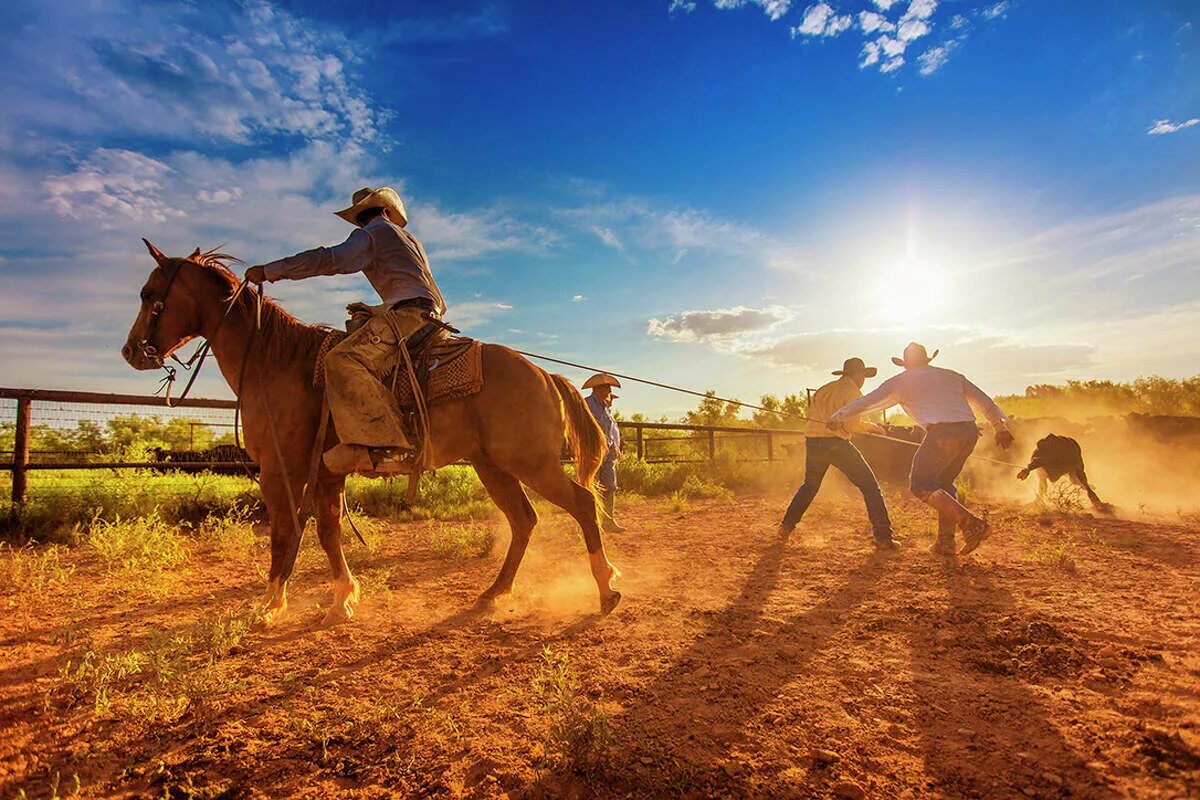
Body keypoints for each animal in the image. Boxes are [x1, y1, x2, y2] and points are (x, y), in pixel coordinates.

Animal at [123, 241, 624, 628]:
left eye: (149, 293)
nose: (131, 351)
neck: (276, 363)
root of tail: (544, 375)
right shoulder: (325, 474)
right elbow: (327, 532)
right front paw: (342, 598)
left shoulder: (279, 471)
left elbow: (284, 532)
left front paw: (270, 606)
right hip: (493, 466)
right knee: (524, 521)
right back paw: (494, 593)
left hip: (530, 463)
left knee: (581, 504)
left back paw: (606, 588)